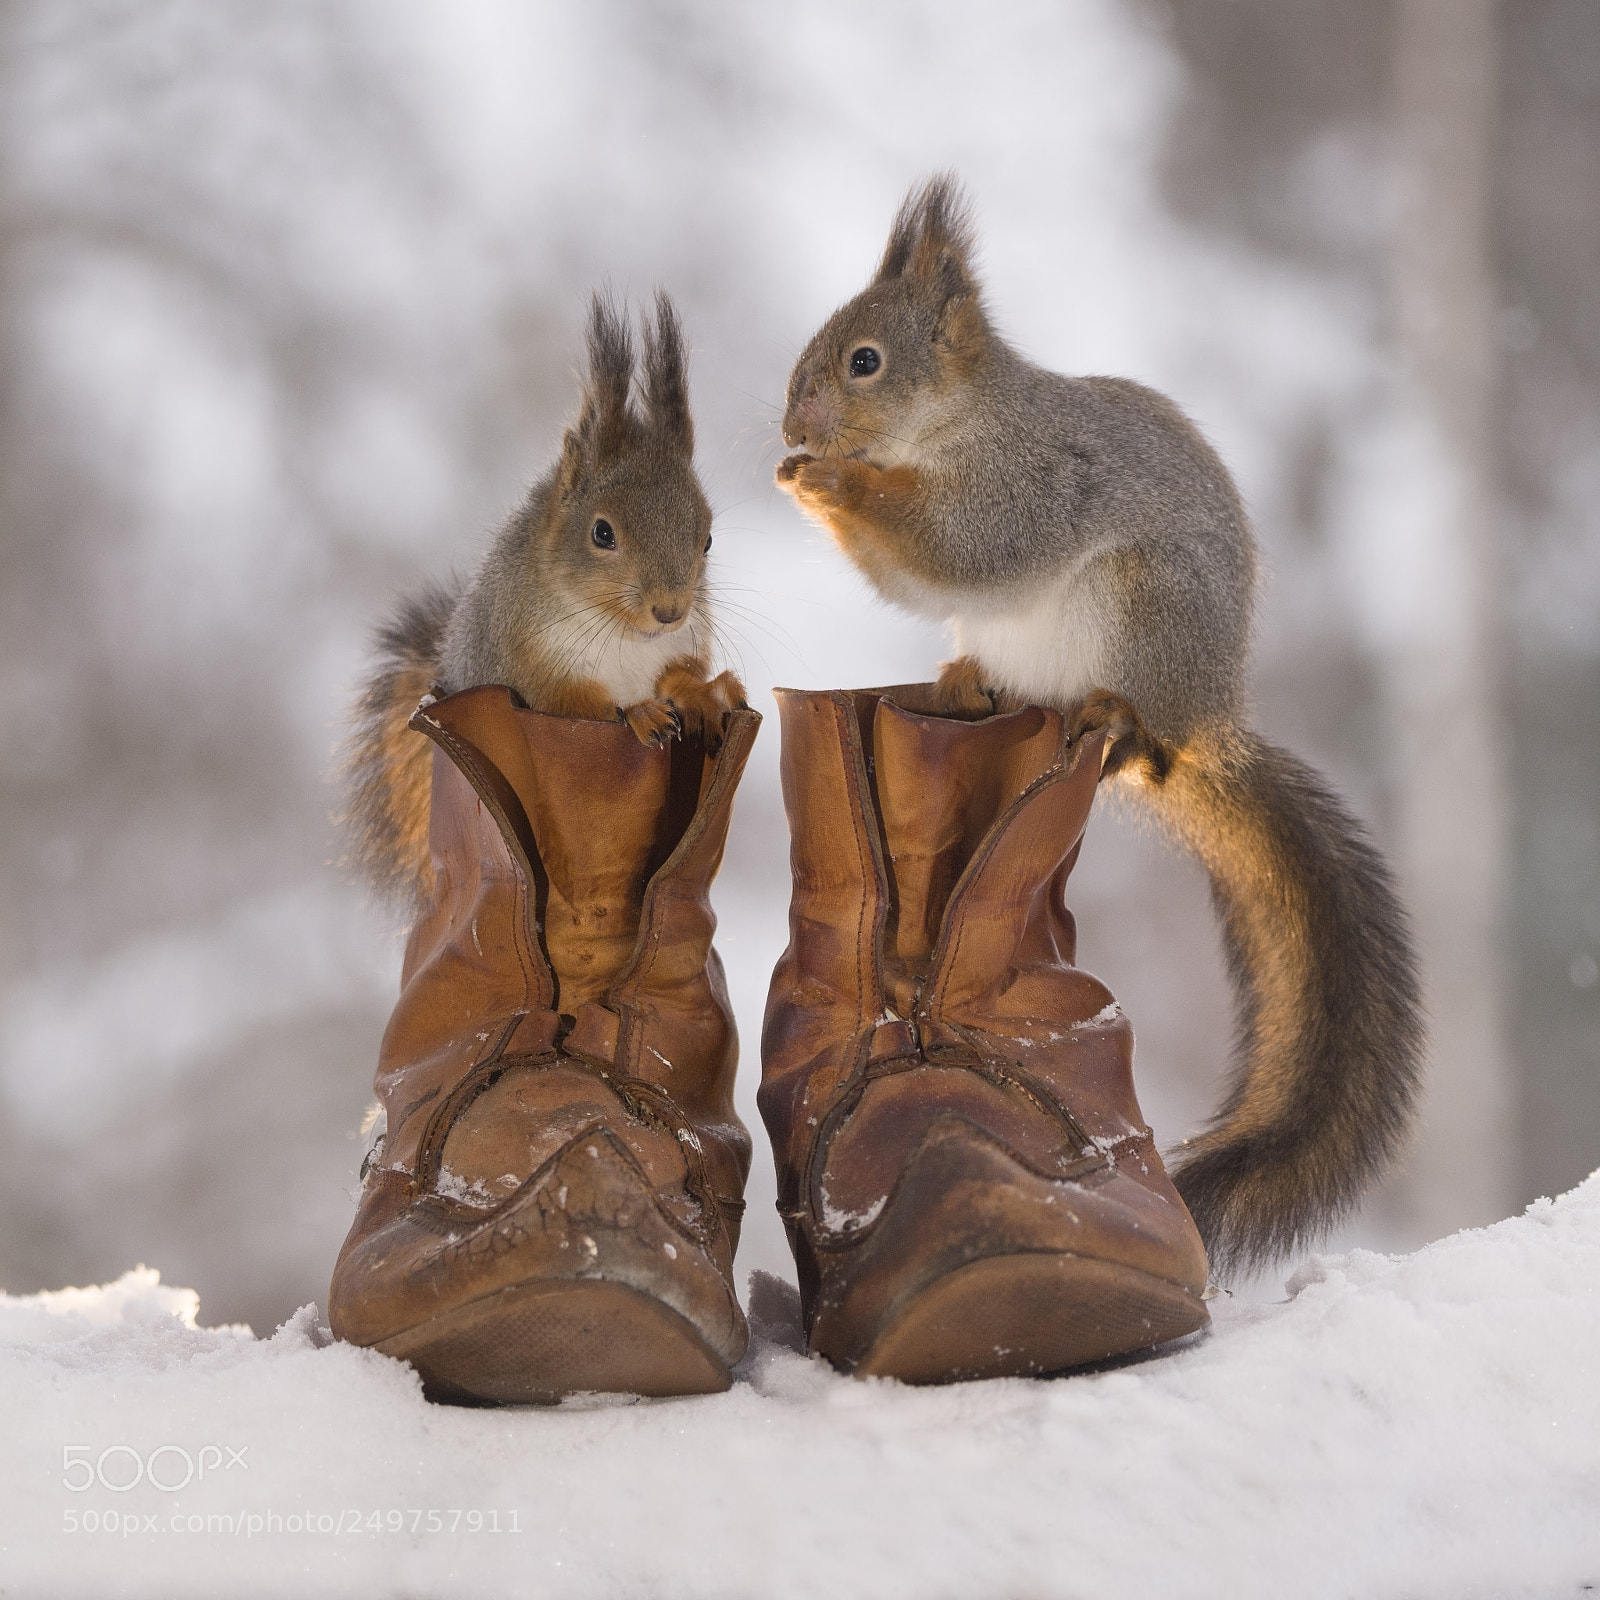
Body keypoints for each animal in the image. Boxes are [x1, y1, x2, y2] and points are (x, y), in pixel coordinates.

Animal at [344, 289, 745, 910]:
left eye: (706, 538)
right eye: (602, 533)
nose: (670, 610)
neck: (623, 636)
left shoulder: (681, 643)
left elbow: (680, 673)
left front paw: (704, 693)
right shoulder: (534, 664)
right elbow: (575, 705)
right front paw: (639, 712)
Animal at [775, 175, 1424, 1277]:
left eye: (864, 360)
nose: (791, 418)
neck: (956, 424)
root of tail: (1207, 720)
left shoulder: (1028, 486)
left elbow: (955, 545)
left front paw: (834, 480)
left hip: (1143, 610)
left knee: (1132, 732)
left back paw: (1113, 716)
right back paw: (967, 684)